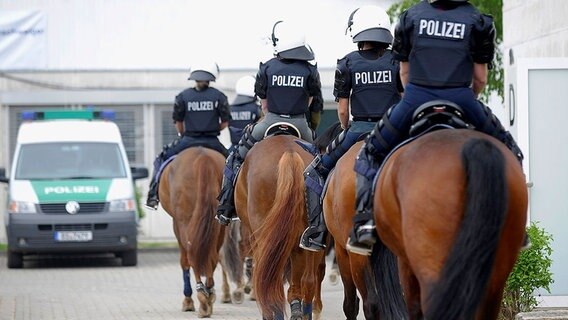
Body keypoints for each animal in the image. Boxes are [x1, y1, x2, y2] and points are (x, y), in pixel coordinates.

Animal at [160, 147, 226, 318]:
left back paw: (202, 298)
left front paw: (188, 300)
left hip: (185, 221)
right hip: (219, 224)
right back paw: (209, 293)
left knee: (192, 254)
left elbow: (184, 261)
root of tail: (204, 159)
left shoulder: (177, 224)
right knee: (212, 256)